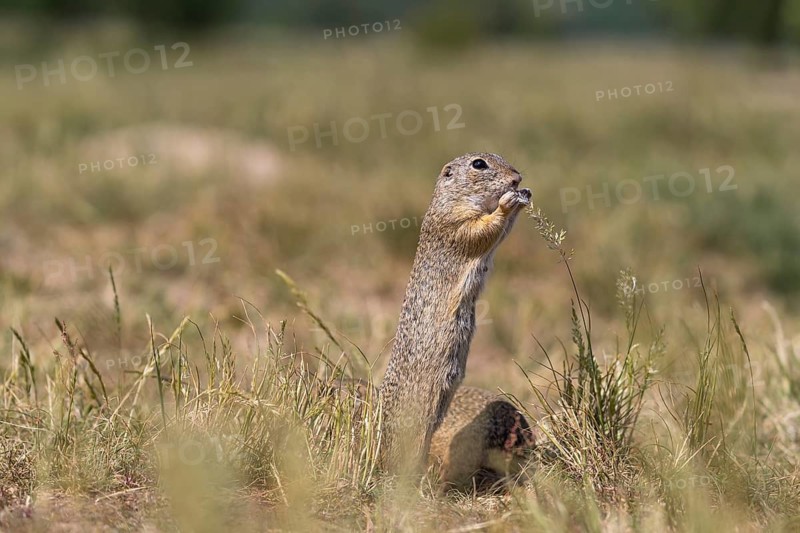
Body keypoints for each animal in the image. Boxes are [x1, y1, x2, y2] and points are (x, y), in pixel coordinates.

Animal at [378, 152, 532, 478]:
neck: (453, 198)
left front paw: (523, 196)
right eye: (479, 164)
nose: (517, 178)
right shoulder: (455, 223)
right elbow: (481, 230)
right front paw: (507, 202)